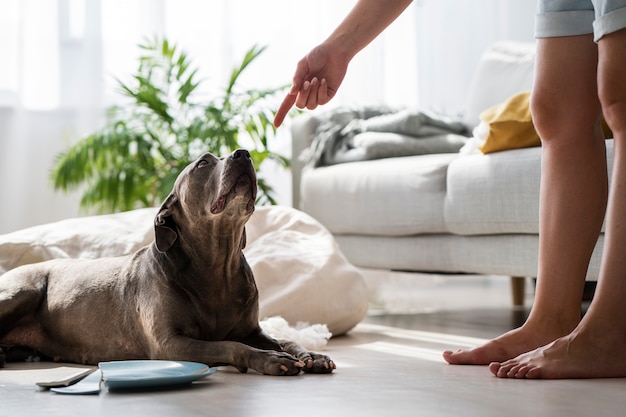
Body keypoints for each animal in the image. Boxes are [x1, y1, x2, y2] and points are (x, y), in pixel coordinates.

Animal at [0, 149, 336, 374]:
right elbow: (229, 345)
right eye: (203, 163)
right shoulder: (170, 343)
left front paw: (310, 354)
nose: (243, 153)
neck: (217, 265)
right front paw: (269, 360)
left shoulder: (252, 329)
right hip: (23, 291)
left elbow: (285, 339)